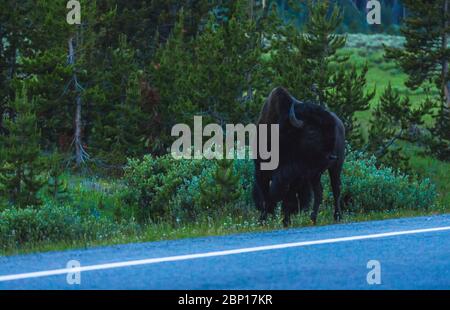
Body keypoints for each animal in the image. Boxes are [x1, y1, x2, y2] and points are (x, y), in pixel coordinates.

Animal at [253, 86, 344, 226]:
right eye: (312, 131)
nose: (332, 157)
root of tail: (341, 124)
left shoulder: (296, 176)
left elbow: (288, 198)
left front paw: (286, 221)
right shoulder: (262, 171)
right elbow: (266, 195)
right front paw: (263, 220)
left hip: (335, 168)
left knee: (336, 189)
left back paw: (337, 216)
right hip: (315, 174)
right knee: (319, 192)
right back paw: (313, 219)